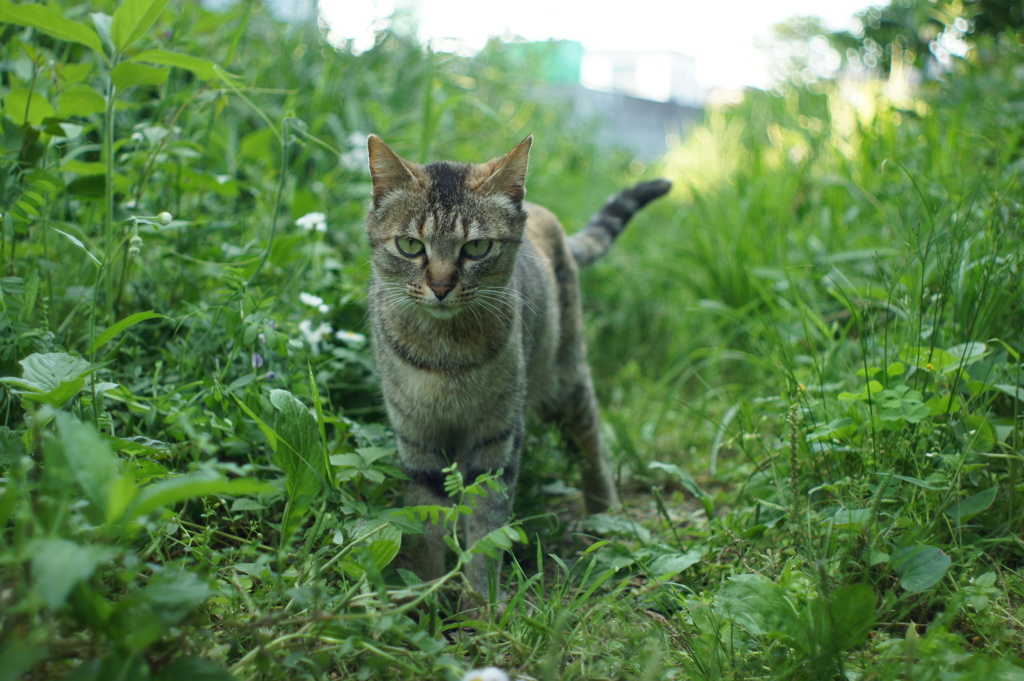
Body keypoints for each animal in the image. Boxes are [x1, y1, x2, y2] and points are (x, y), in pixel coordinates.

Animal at [366, 135, 671, 602]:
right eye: (410, 246)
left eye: (476, 247)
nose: (441, 287)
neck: (445, 354)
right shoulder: (417, 440)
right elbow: (427, 528)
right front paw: (428, 597)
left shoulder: (496, 440)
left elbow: (486, 528)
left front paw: (480, 604)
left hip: (566, 378)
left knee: (592, 444)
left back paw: (604, 514)